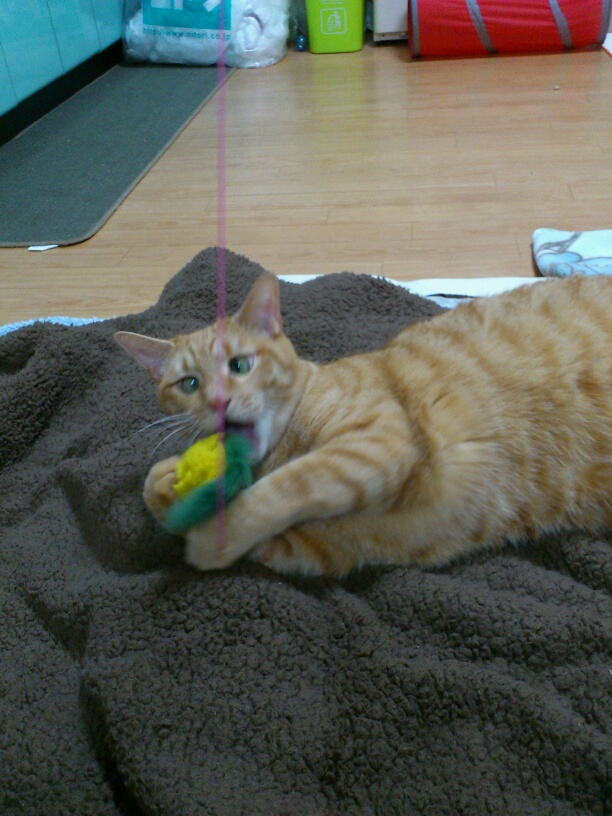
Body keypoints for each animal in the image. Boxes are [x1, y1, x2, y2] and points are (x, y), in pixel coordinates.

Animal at [115, 272, 612, 577]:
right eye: (189, 384)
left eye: (240, 365)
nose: (218, 401)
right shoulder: (317, 549)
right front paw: (169, 483)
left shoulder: (378, 441)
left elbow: (281, 489)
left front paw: (207, 538)